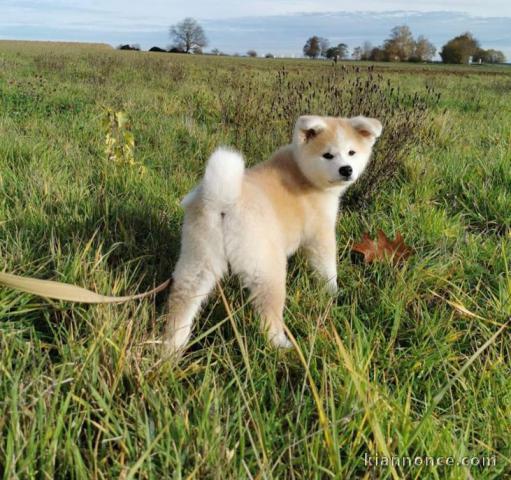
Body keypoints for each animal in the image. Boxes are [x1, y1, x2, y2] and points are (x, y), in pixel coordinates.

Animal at [164, 114, 380, 354]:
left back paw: (172, 348)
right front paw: (333, 292)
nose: (346, 169)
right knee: (269, 315)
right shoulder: (320, 234)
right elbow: (326, 267)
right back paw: (282, 345)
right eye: (328, 155)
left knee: (182, 303)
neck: (302, 172)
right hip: (266, 268)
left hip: (198, 259)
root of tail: (223, 201)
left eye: (352, 152)